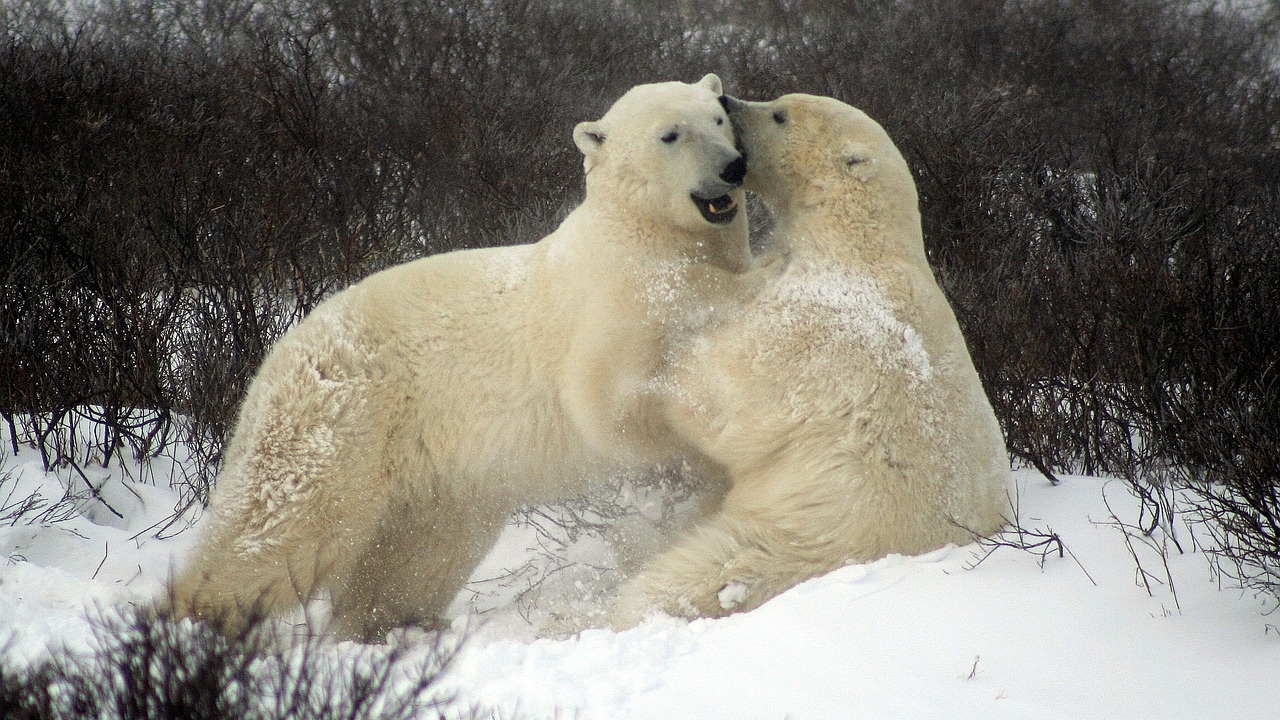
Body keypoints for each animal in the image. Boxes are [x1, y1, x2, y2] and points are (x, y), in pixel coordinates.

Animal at [168, 75, 768, 638]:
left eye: (719, 118)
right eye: (671, 134)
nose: (733, 167)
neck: (642, 234)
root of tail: (279, 351)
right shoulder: (610, 303)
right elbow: (609, 405)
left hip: (437, 476)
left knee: (418, 555)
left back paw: (393, 622)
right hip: (340, 418)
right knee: (281, 527)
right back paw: (193, 620)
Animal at [606, 94, 1008, 622]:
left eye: (780, 113)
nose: (727, 99)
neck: (856, 243)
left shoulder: (814, 327)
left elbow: (725, 397)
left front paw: (664, 363)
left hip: (798, 534)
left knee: (692, 574)